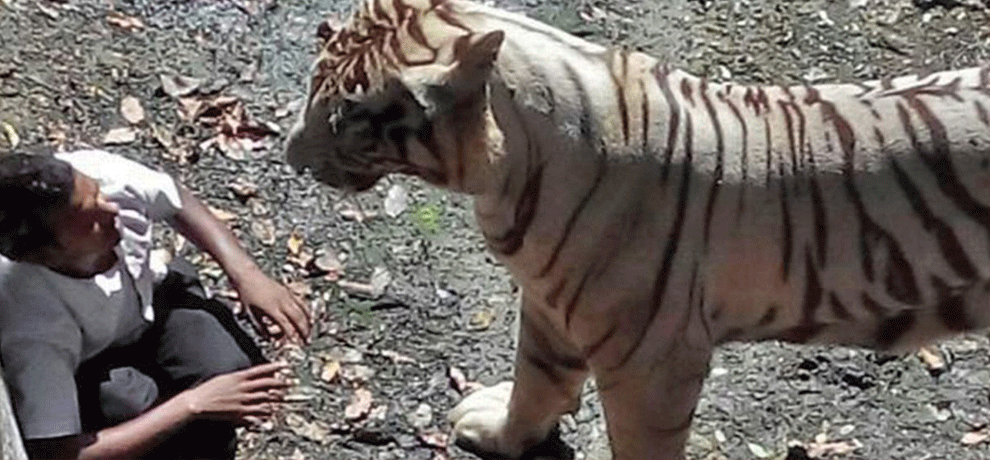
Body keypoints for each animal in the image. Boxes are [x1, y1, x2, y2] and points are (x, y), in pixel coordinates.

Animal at [284, 0, 990, 458]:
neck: (506, 179)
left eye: (348, 117)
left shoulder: (652, 361)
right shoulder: (548, 305)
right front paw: (501, 434)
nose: (289, 155)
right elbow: (535, 382)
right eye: (315, 83)